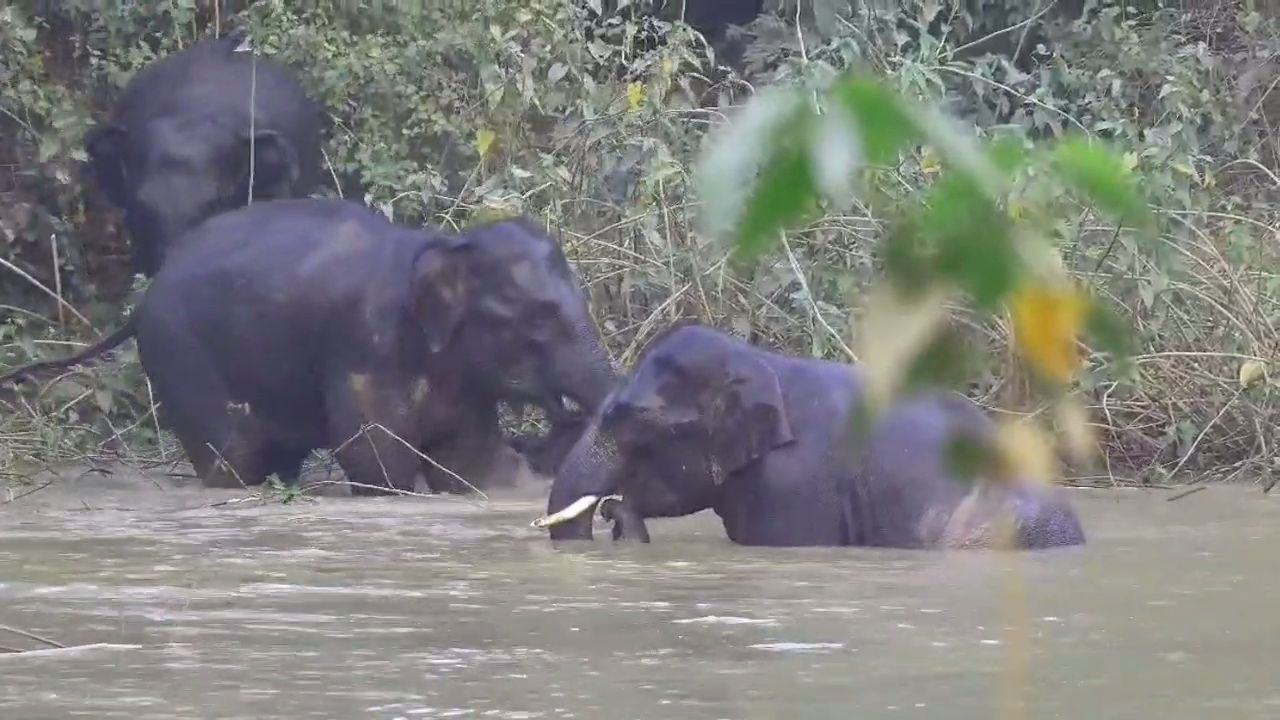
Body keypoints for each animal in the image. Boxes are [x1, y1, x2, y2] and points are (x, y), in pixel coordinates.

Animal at [132, 198, 616, 495]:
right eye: (538, 318)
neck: (442, 245)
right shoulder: (364, 344)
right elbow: (375, 459)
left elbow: (472, 466)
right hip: (179, 358)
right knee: (234, 460)